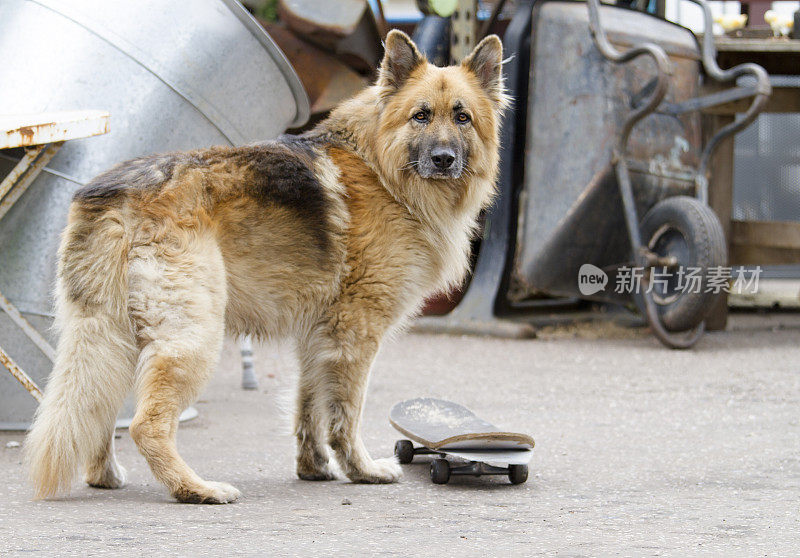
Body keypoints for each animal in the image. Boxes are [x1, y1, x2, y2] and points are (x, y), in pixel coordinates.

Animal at [28, 29, 510, 504]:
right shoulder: (355, 335)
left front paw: (314, 468)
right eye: (420, 116)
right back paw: (194, 489)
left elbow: (309, 407)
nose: (444, 159)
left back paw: (104, 476)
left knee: (98, 407)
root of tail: (114, 193)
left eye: (462, 118)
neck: (383, 170)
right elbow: (345, 414)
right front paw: (361, 470)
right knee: (147, 425)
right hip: (194, 337)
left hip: (115, 337)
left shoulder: (317, 337)